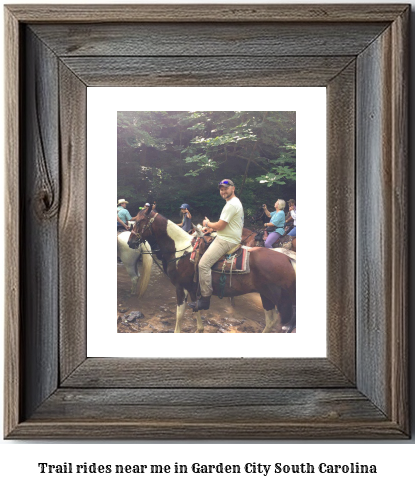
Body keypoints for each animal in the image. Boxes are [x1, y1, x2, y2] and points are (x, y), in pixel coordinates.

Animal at [129, 206, 296, 332]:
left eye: (139, 221)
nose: (130, 242)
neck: (180, 249)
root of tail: (288, 259)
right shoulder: (192, 288)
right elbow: (196, 310)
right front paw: (199, 329)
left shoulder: (180, 287)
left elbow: (179, 314)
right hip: (266, 296)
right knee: (271, 322)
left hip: (281, 302)